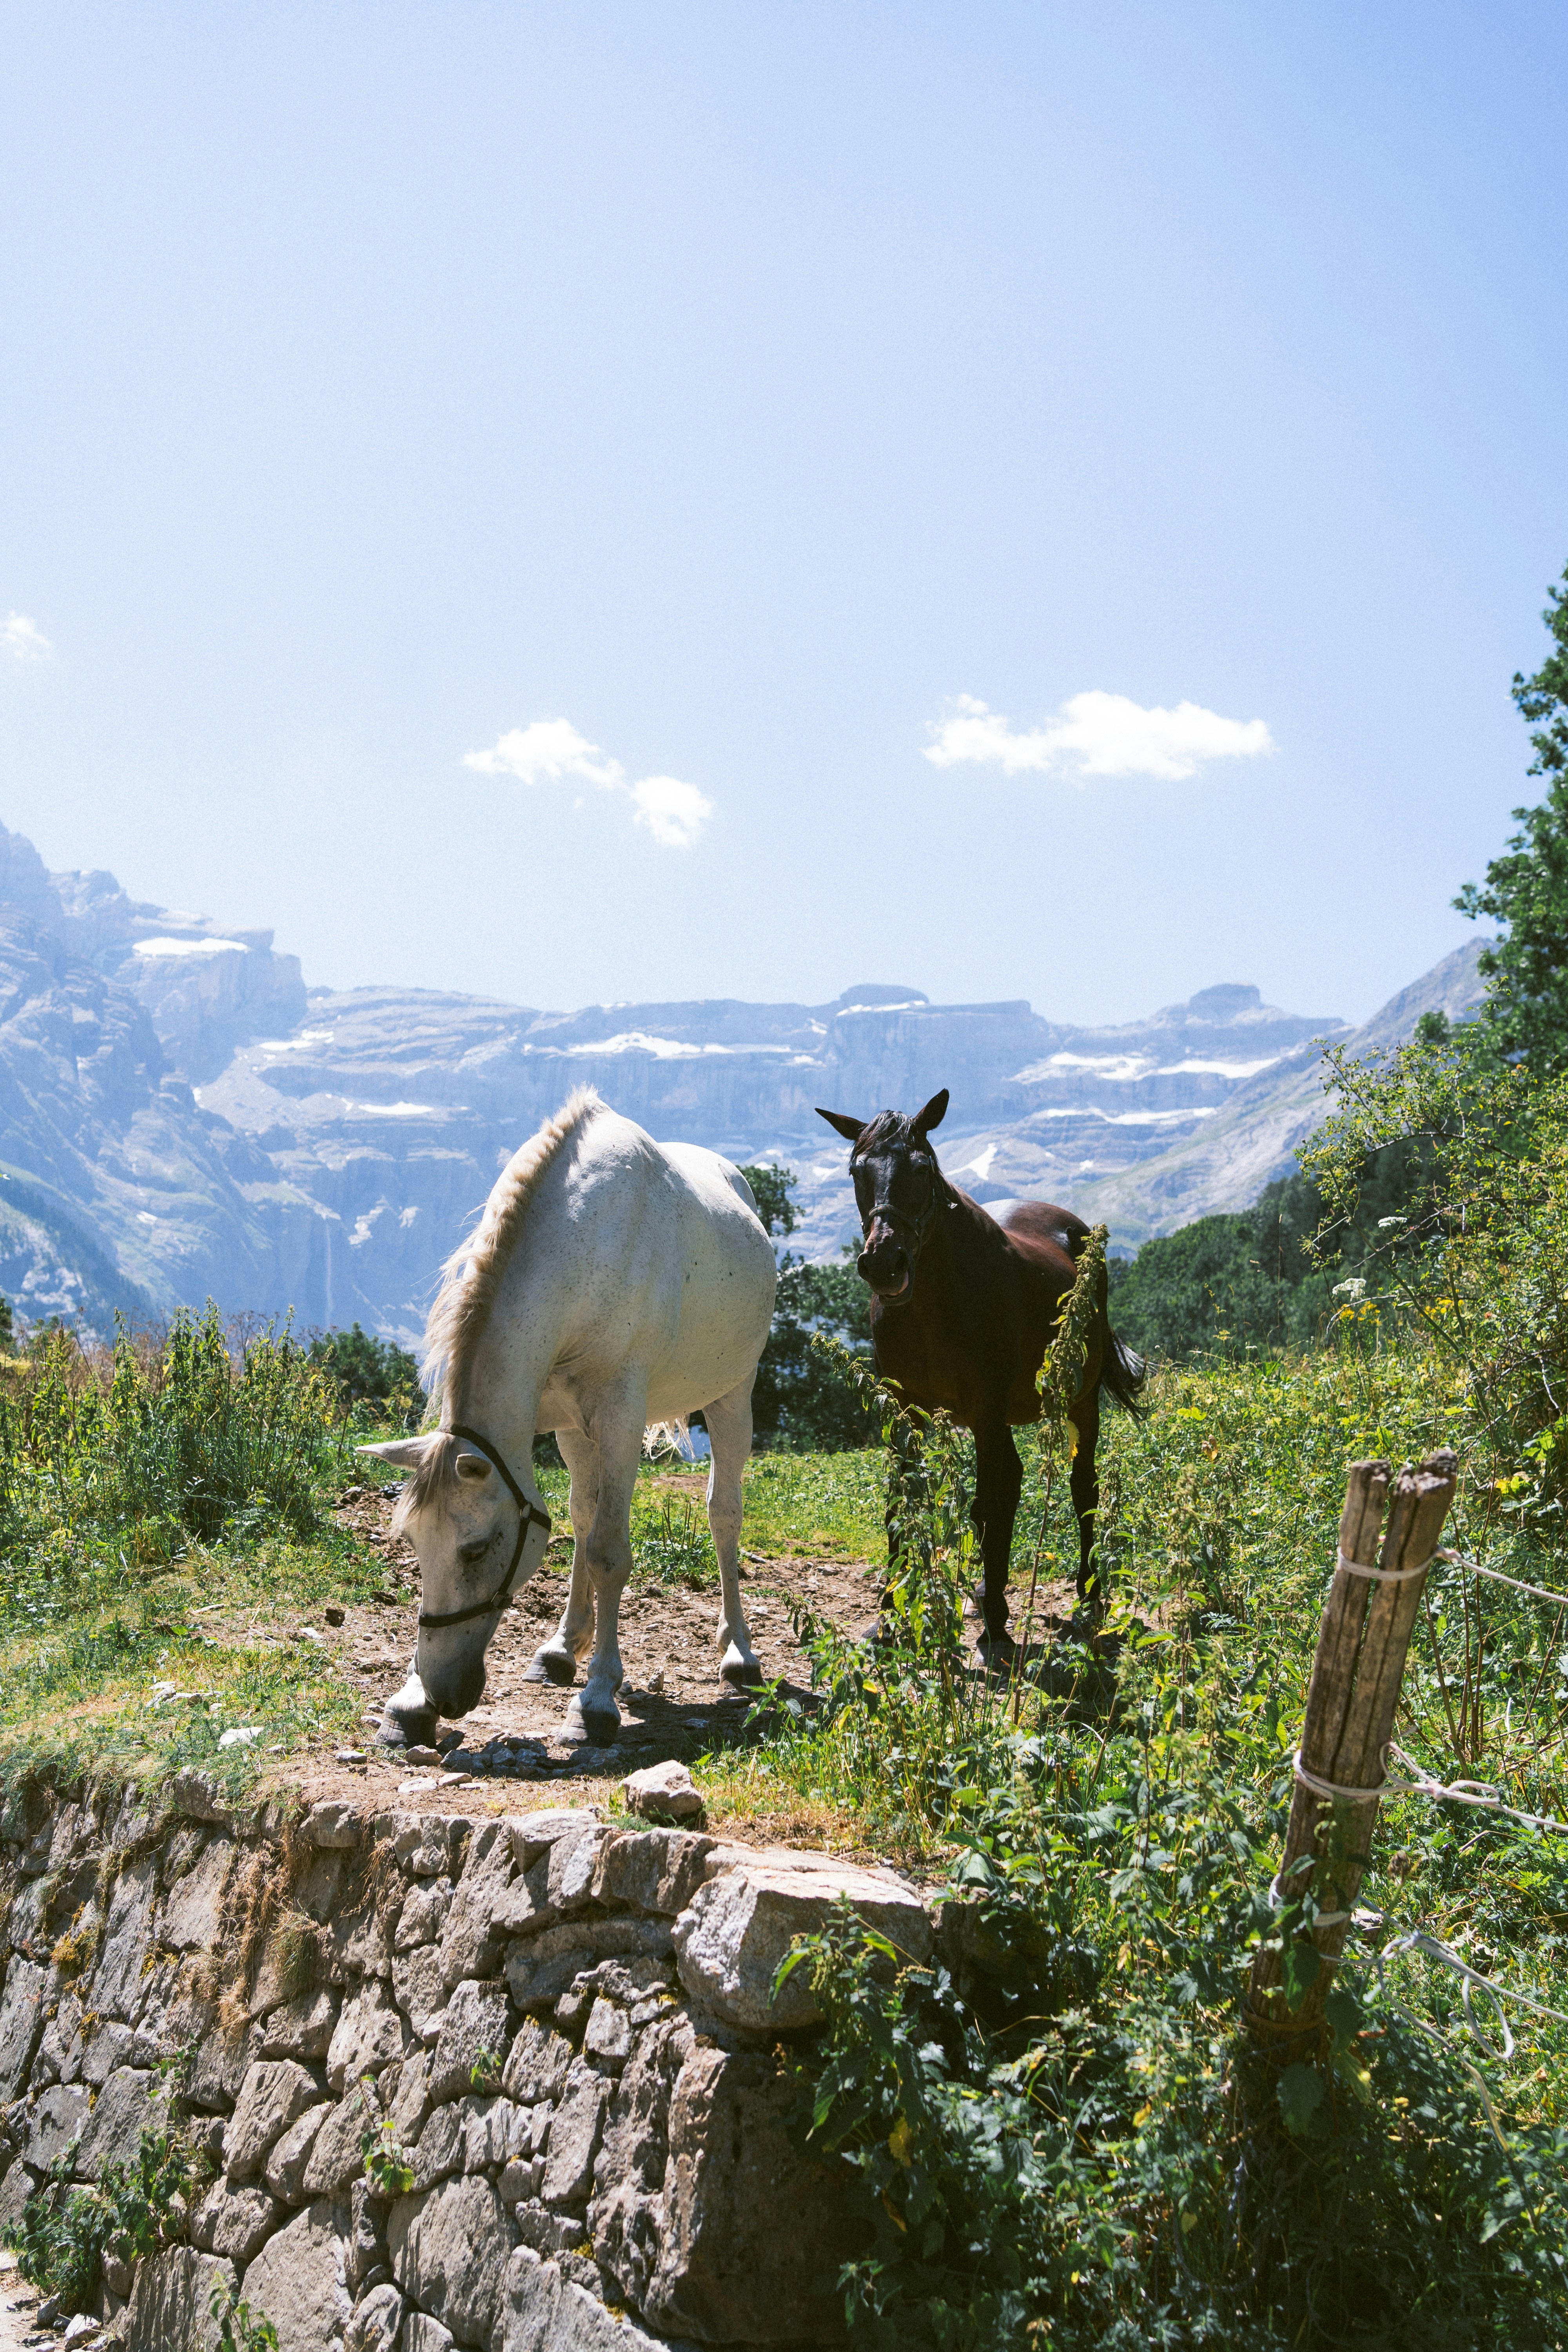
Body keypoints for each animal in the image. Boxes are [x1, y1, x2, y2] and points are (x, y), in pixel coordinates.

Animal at [359, 1088, 778, 1749]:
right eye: (415, 1543)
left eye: (476, 1551)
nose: (443, 1692)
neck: (584, 1246)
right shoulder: (564, 1421)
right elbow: (582, 1522)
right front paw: (410, 1701)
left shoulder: (620, 1419)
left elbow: (609, 1550)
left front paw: (598, 1698)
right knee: (586, 1510)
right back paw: (561, 1648)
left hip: (734, 1395)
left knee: (723, 1514)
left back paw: (739, 1653)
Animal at [816, 1087, 1145, 1652]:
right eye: (857, 1170)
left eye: (922, 1168)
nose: (884, 1263)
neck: (935, 1302)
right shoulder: (906, 1411)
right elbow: (902, 1501)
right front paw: (888, 1615)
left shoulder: (987, 1411)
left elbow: (996, 1500)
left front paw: (995, 1621)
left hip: (1077, 1404)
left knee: (1080, 1487)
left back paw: (1085, 1597)